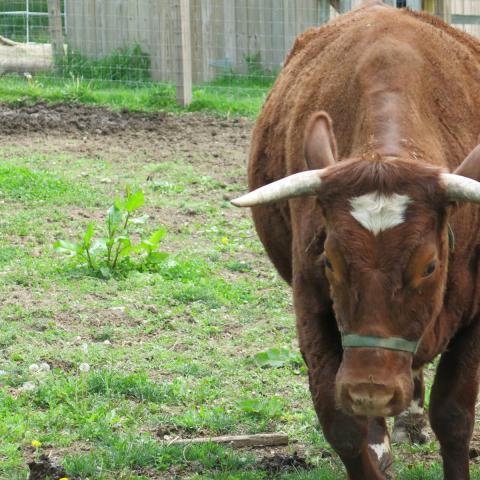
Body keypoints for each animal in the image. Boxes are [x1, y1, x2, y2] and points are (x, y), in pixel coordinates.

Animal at [233, 3, 480, 480]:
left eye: (429, 265)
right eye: (329, 260)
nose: (371, 390)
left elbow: (454, 417)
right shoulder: (312, 310)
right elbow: (343, 425)